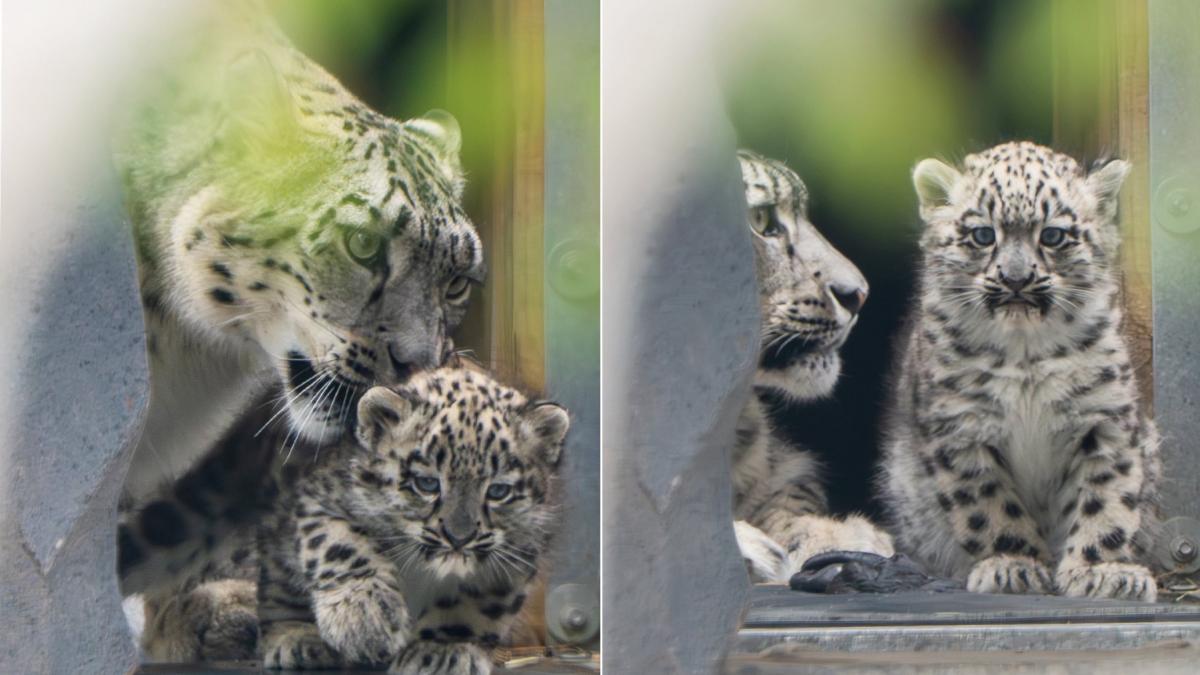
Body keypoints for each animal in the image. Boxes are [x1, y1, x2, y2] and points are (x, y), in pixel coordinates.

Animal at [255, 366, 569, 674]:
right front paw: (366, 619)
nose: (459, 537)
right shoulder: (321, 499)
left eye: (498, 491)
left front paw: (440, 651)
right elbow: (339, 546)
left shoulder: (517, 552)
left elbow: (474, 605)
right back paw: (299, 638)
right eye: (427, 483)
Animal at [879, 140, 1161, 601]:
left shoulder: (1103, 421)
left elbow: (1105, 498)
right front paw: (1015, 565)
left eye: (1053, 235)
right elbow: (990, 506)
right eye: (983, 234)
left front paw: (1101, 570)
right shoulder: (963, 428)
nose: (1015, 278)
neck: (1025, 355)